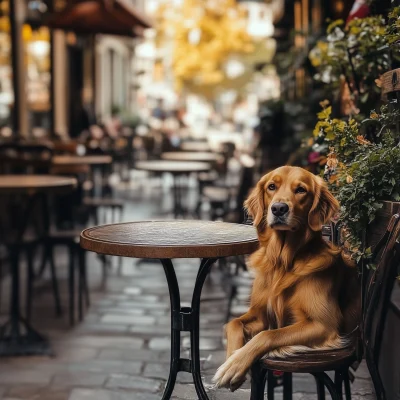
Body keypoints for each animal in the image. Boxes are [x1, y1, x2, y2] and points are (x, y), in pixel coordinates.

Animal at [212, 165, 360, 390]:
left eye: (301, 190)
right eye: (272, 186)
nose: (279, 209)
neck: (283, 262)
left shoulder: (323, 324)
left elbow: (269, 334)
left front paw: (234, 365)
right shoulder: (260, 315)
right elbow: (233, 323)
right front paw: (231, 359)